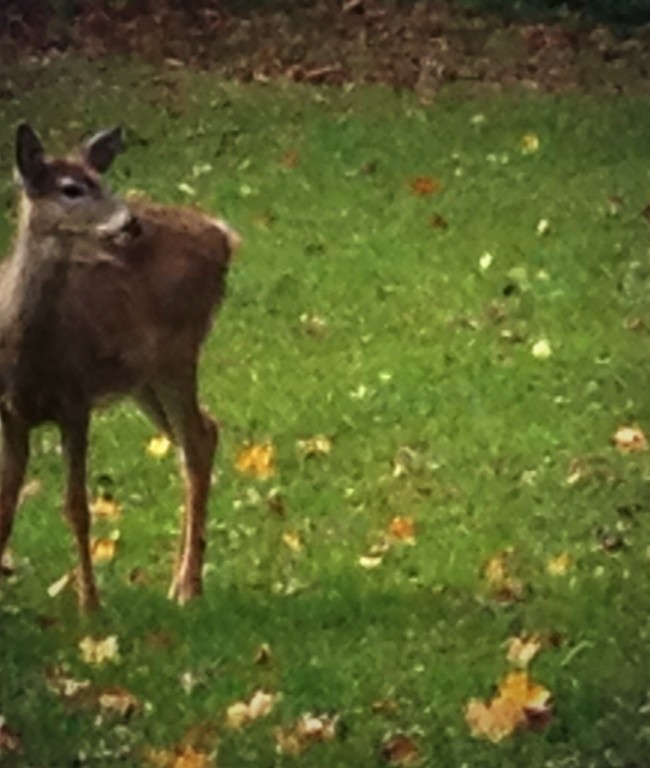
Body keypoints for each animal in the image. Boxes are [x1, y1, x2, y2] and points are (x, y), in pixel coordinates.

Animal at [0, 123, 240, 611]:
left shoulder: (75, 403)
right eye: (70, 189)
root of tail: (224, 234)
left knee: (196, 440)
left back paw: (189, 586)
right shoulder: (10, 414)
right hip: (142, 379)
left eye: (103, 181)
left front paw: (90, 606)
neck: (25, 352)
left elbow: (77, 506)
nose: (130, 223)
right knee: (199, 436)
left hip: (178, 354)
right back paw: (178, 581)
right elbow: (4, 506)